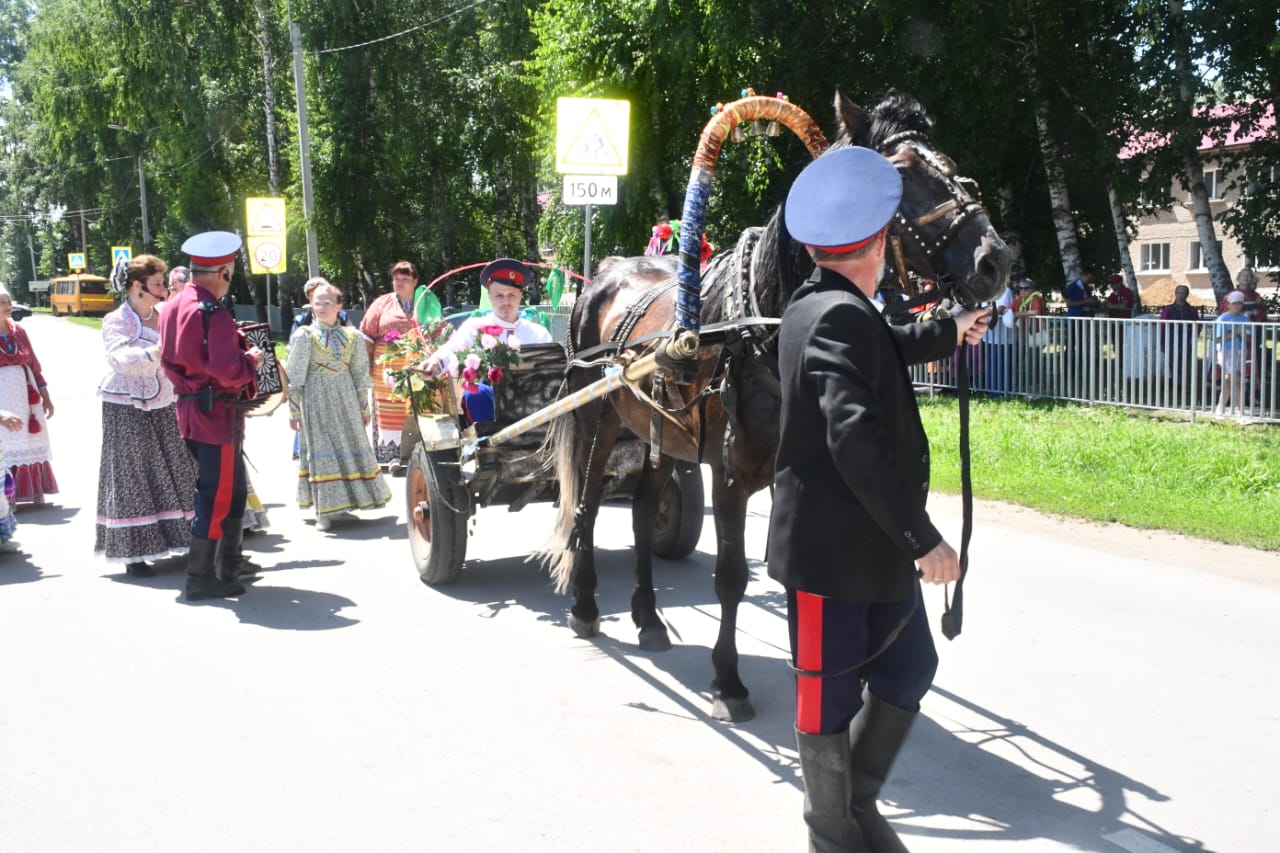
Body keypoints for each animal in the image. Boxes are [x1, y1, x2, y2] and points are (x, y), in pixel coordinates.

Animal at [541, 90, 1012, 722]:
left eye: (951, 163)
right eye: (901, 172)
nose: (996, 261)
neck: (763, 320)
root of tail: (602, 276)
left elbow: (802, 574)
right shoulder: (731, 477)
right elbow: (732, 577)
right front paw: (729, 683)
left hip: (660, 433)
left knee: (641, 513)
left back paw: (647, 618)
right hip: (599, 419)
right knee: (588, 508)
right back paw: (588, 607)